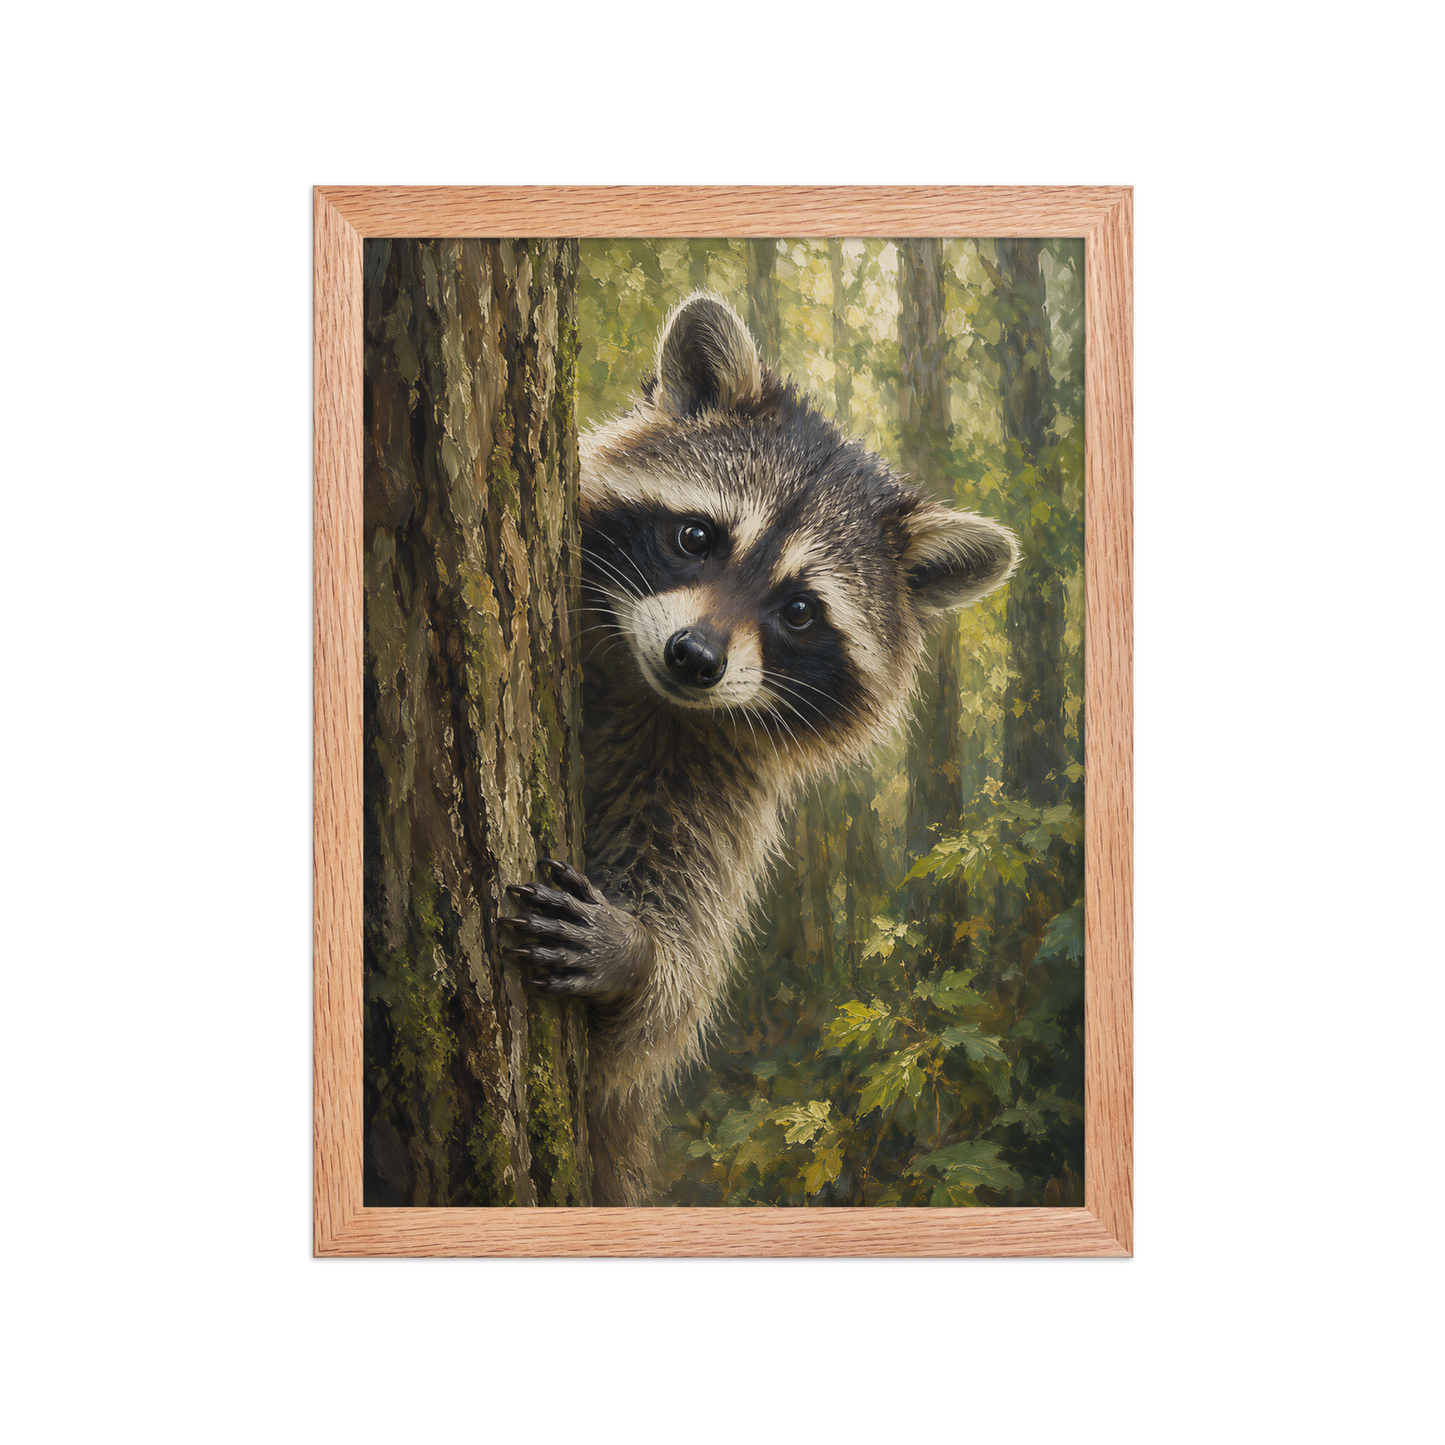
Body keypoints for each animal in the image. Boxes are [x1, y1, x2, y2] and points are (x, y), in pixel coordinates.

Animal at [503, 292, 1018, 1206]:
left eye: (801, 611)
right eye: (696, 537)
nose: (694, 658)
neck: (646, 691)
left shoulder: (717, 783)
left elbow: (657, 1013)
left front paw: (639, 956)